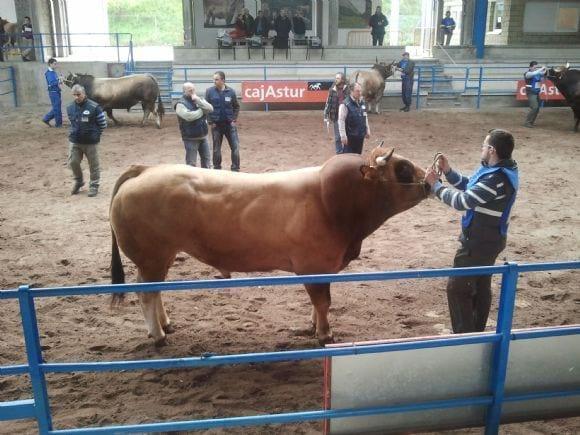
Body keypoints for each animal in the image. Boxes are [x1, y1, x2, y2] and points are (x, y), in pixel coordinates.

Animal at [109, 148, 428, 346]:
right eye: (402, 168)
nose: (430, 179)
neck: (329, 201)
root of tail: (145, 170)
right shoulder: (313, 267)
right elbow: (323, 302)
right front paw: (325, 334)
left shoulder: (322, 270)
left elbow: (319, 304)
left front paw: (314, 325)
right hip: (152, 257)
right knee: (146, 294)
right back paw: (159, 336)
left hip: (160, 258)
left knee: (154, 291)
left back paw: (166, 324)